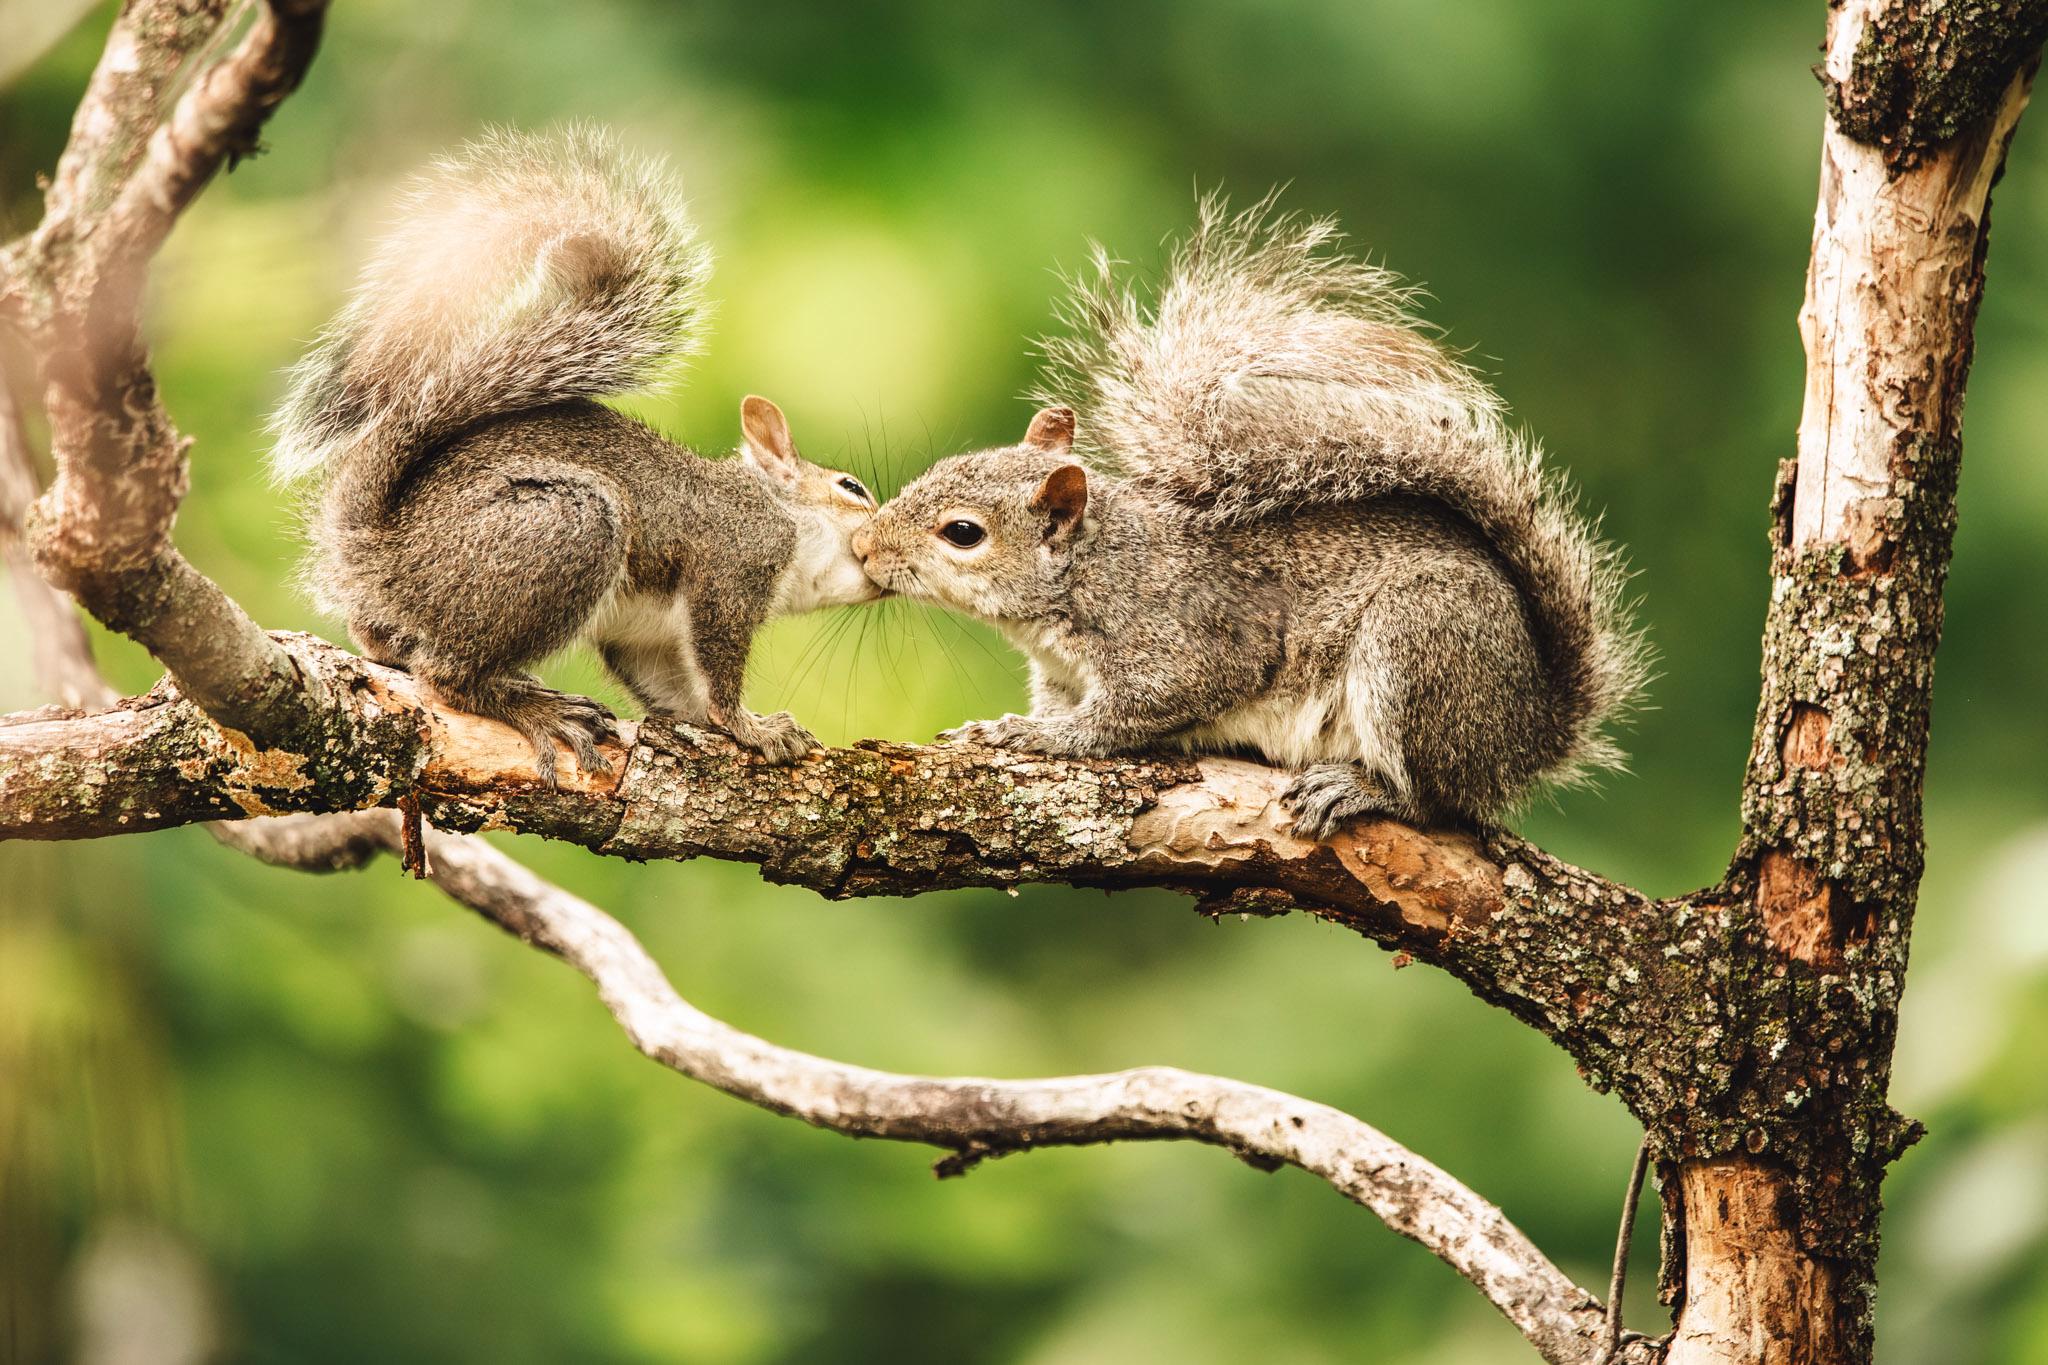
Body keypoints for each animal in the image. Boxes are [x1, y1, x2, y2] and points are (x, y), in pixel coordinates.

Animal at [270, 127, 880, 784]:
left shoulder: (647, 639)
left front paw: (713, 725)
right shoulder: (733, 563)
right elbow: (717, 670)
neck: (784, 514)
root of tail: (381, 549)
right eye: (851, 488)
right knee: (447, 675)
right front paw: (752, 726)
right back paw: (534, 708)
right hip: (568, 526)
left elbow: (673, 689)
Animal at [854, 197, 1649, 836]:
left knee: (1439, 801)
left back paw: (1362, 790)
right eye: (941, 466)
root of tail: (1530, 732)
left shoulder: (1188, 640)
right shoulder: (1062, 675)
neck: (1090, 575)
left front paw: (1041, 739)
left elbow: (1138, 710)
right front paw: (1005, 725)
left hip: (1419, 649)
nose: (863, 545)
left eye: (963, 533)